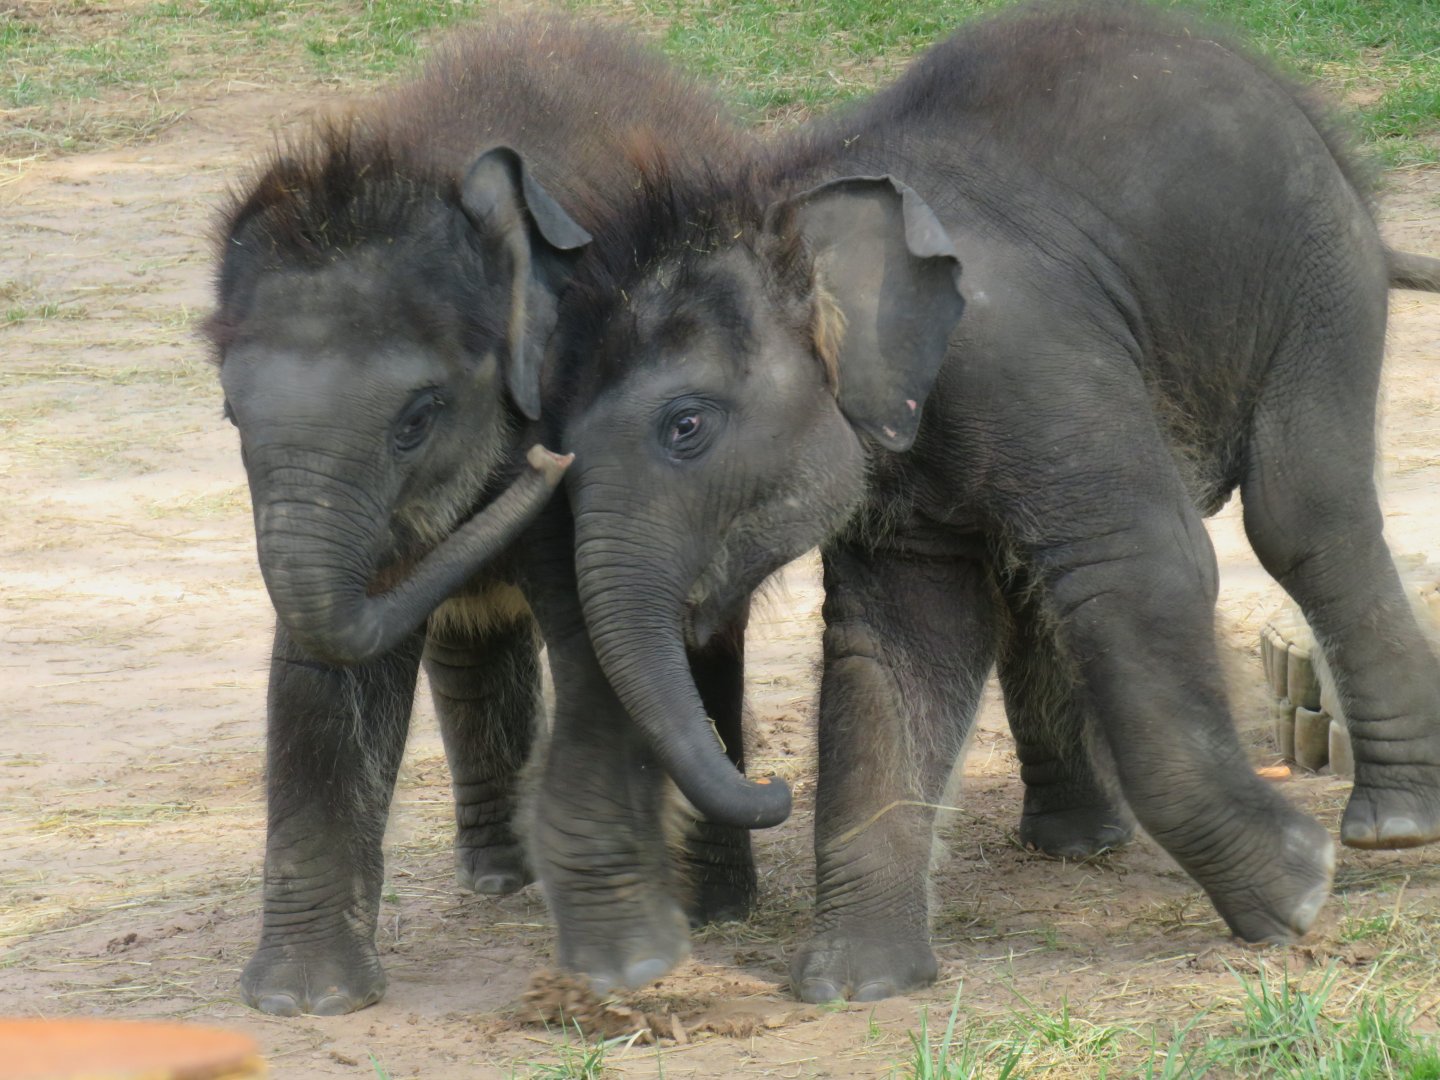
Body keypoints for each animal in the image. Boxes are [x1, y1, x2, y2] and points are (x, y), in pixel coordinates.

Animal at [204, 17, 773, 1016]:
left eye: (417, 418)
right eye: (232, 414)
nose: (545, 466)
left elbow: (599, 649)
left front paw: (625, 971)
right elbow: (321, 671)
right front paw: (306, 1002)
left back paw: (715, 909)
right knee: (471, 635)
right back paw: (499, 878)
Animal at [543, 0, 1440, 1002]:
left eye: (686, 426)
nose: (772, 790)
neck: (785, 208)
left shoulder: (1028, 352)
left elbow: (1142, 571)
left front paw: (1299, 896)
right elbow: (899, 639)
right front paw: (857, 985)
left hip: (1313, 277)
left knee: (1299, 513)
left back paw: (1393, 827)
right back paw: (1080, 842)